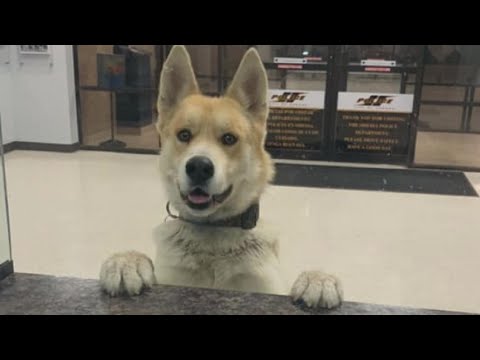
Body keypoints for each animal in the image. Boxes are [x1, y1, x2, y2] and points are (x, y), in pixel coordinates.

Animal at [99, 45, 344, 310]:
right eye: (184, 135)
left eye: (229, 138)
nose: (199, 167)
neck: (213, 231)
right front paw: (126, 261)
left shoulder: (268, 288)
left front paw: (317, 279)